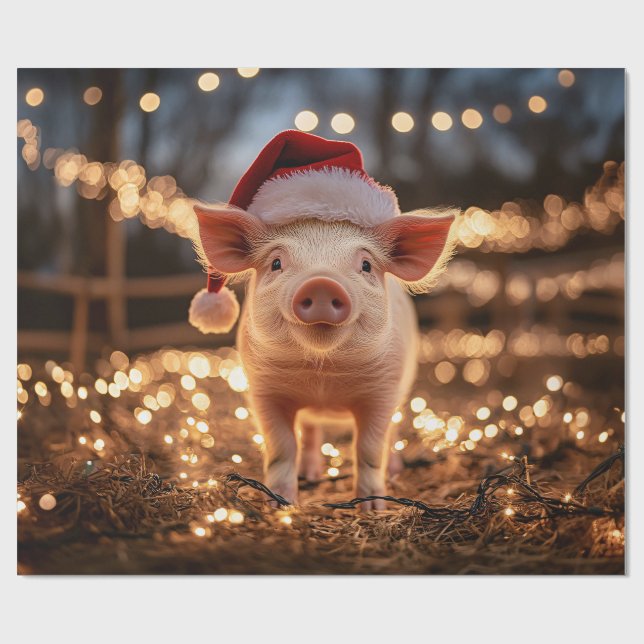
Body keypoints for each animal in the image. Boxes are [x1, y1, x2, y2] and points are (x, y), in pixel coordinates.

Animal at [194, 204, 456, 509]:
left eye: (366, 265)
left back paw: (393, 471)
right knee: (309, 432)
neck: (322, 378)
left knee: (393, 431)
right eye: (276, 263)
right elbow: (282, 446)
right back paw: (309, 474)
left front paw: (372, 509)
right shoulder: (263, 391)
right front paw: (279, 505)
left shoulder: (384, 390)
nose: (321, 284)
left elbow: (369, 448)